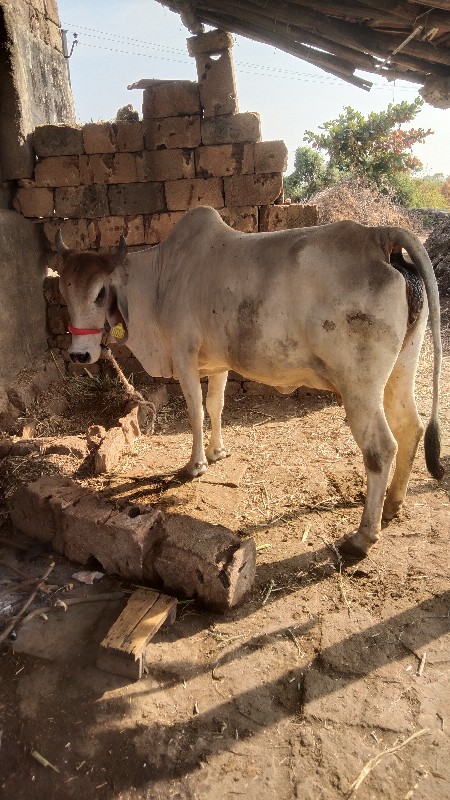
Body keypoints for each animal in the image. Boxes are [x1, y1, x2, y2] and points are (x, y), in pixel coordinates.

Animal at [54, 206, 444, 556]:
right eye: (64, 293)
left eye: (100, 293)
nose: (80, 355)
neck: (160, 279)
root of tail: (380, 236)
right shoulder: (216, 363)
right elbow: (216, 406)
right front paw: (217, 452)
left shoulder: (183, 355)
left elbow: (195, 411)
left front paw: (195, 465)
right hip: (400, 372)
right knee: (410, 428)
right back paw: (392, 505)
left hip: (358, 387)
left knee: (381, 448)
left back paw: (362, 537)